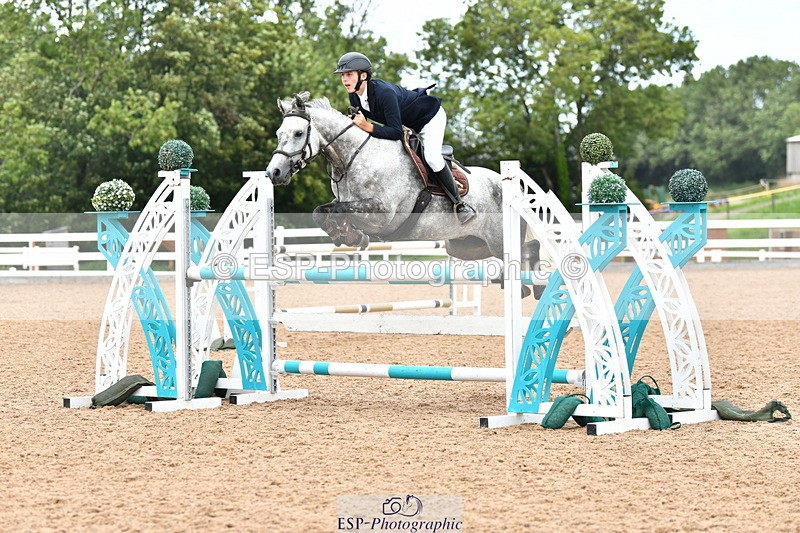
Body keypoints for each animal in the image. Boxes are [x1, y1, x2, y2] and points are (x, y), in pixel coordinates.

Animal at [265, 92, 539, 282]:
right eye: (279, 133)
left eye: (299, 133)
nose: (273, 173)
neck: (354, 158)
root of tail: (509, 186)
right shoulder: (345, 203)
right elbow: (322, 211)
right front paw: (349, 236)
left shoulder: (383, 215)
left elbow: (339, 210)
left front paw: (352, 235)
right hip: (465, 245)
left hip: (498, 240)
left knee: (524, 252)